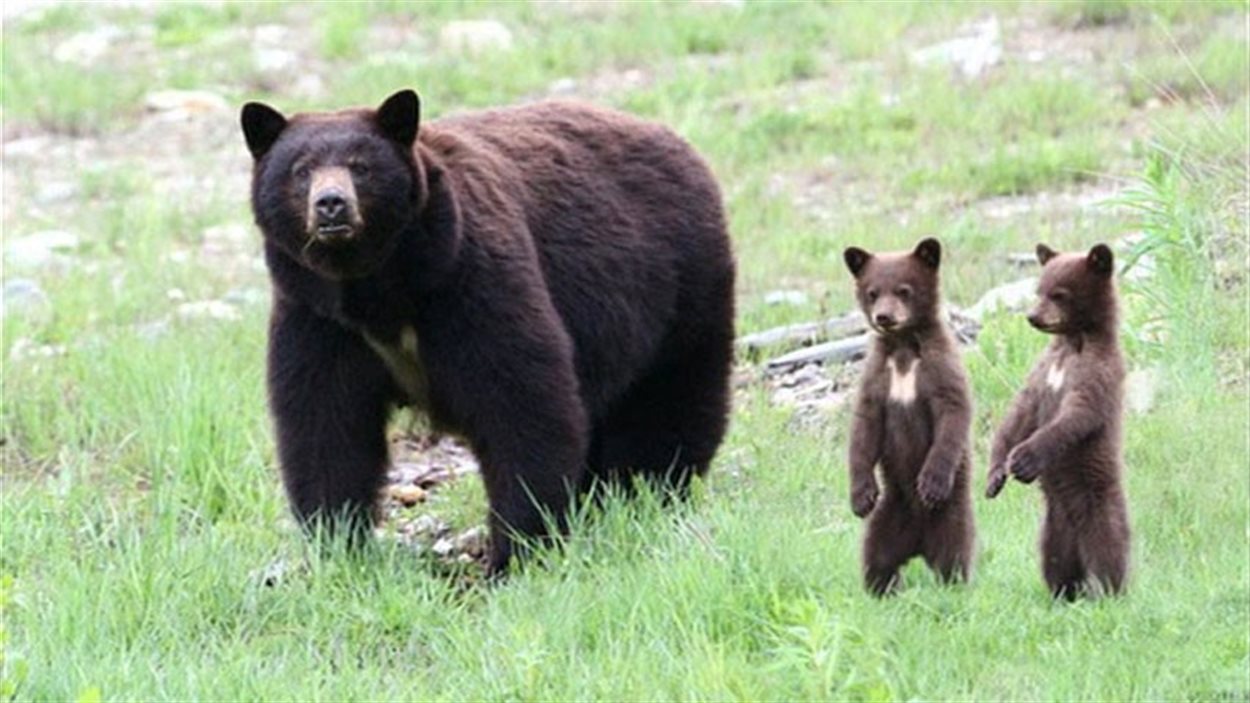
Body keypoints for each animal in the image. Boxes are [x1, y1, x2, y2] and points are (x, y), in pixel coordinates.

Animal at [238, 90, 735, 572]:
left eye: (361, 166)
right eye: (301, 170)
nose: (331, 204)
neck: (378, 290)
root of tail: (678, 142)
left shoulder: (470, 281)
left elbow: (522, 405)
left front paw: (516, 553)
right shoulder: (318, 319)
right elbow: (325, 425)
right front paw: (340, 545)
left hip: (679, 288)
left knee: (667, 401)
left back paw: (648, 492)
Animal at [840, 236, 975, 590]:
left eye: (904, 290)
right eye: (872, 292)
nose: (884, 317)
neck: (902, 349)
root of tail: (918, 546)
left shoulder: (940, 368)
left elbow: (953, 414)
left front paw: (931, 482)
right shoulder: (877, 376)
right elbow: (864, 428)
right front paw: (860, 495)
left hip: (952, 517)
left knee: (953, 555)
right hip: (888, 516)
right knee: (876, 556)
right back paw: (881, 587)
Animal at [985, 240, 1135, 595]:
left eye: (1059, 294)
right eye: (1038, 290)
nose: (1032, 317)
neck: (1072, 343)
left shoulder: (1098, 371)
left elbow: (1077, 414)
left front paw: (1024, 458)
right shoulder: (1042, 372)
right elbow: (1018, 413)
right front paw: (995, 473)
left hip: (1100, 505)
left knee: (1109, 550)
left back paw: (1110, 591)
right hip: (1052, 527)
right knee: (1055, 561)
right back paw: (1062, 592)